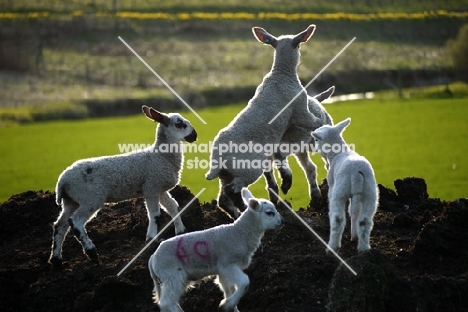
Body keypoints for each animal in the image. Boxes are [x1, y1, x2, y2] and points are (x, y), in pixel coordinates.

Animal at [49, 105, 197, 266]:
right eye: (179, 124)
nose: (194, 135)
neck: (161, 156)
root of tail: (62, 181)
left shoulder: (160, 189)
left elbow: (173, 207)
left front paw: (181, 231)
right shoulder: (151, 186)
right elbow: (155, 214)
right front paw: (152, 239)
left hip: (71, 201)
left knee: (60, 225)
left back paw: (56, 259)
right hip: (91, 197)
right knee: (75, 222)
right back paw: (91, 252)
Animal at [148, 188, 284, 312]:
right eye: (269, 213)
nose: (282, 221)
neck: (239, 233)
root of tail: (153, 258)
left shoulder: (223, 271)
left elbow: (228, 290)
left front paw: (231, 307)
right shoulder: (228, 265)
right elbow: (244, 283)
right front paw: (226, 305)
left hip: (177, 279)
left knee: (170, 301)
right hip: (172, 276)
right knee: (166, 303)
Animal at [205, 25, 322, 219]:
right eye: (299, 45)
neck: (282, 74)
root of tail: (218, 158)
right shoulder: (300, 110)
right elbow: (315, 122)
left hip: (227, 174)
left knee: (223, 199)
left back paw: (236, 214)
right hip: (248, 169)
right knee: (232, 191)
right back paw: (244, 208)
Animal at [310, 118, 380, 252]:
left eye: (316, 140)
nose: (314, 149)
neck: (337, 153)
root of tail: (356, 173)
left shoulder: (332, 187)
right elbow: (353, 211)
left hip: (340, 190)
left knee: (338, 219)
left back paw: (332, 247)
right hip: (370, 192)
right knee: (364, 220)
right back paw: (363, 249)